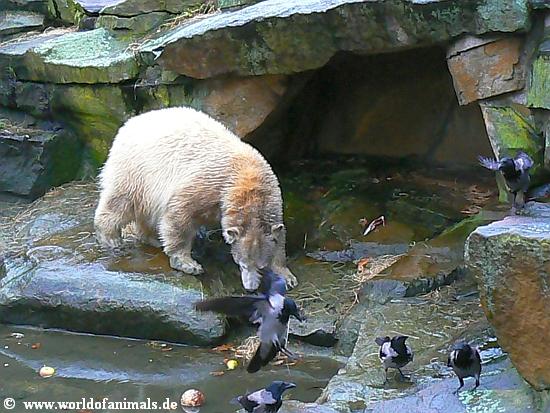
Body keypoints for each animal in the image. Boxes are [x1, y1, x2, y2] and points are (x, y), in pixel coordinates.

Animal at [94, 106, 297, 291]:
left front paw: (286, 275)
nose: (250, 288)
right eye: (242, 264)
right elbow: (179, 214)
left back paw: (152, 237)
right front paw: (188, 264)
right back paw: (111, 238)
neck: (248, 184)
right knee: (121, 202)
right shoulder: (210, 185)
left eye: (261, 267)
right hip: (136, 170)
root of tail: (131, 123)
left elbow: (280, 236)